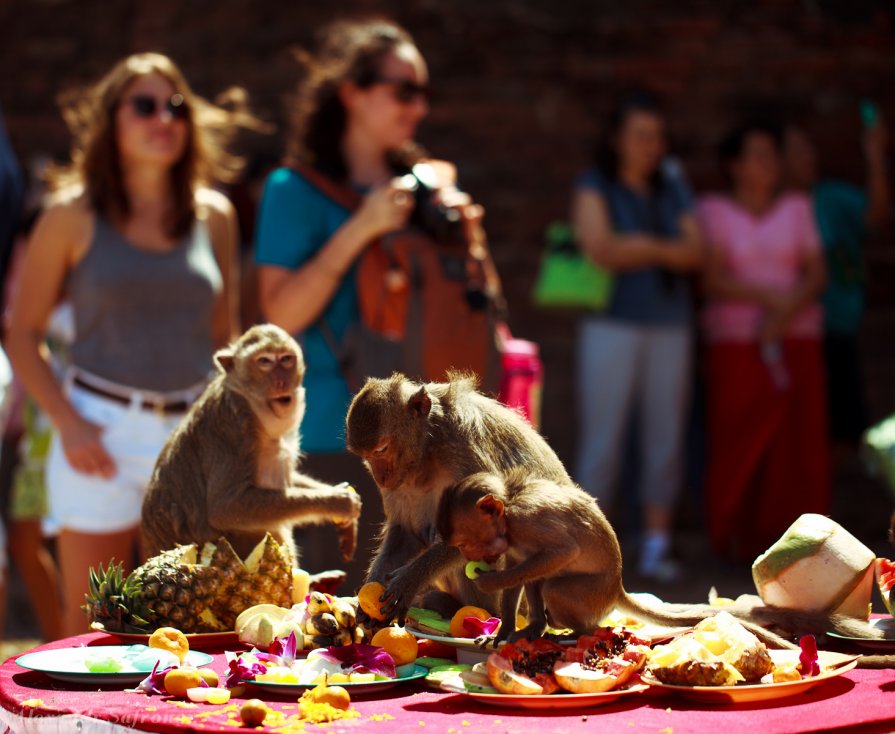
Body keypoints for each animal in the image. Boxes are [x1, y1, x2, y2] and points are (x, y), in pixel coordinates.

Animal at [144, 326, 360, 564]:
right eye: (264, 361)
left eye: (286, 359)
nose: (281, 381)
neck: (254, 405)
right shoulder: (235, 427)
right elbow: (225, 508)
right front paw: (338, 502)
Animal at [346, 374, 572, 620]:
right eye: (366, 455)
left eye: (381, 450)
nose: (379, 477)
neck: (428, 449)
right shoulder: (399, 482)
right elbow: (406, 534)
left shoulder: (465, 447)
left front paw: (408, 581)